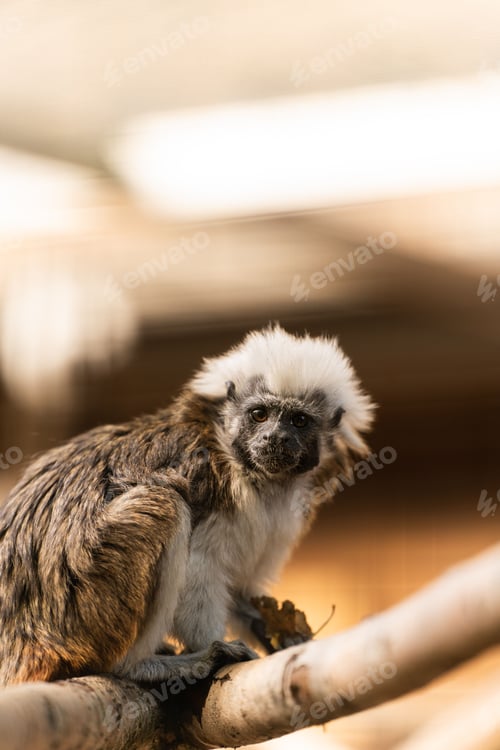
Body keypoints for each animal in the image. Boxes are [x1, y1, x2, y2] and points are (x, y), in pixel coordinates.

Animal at [0, 324, 374, 686]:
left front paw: (281, 635)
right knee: (164, 503)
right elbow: (200, 569)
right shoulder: (212, 482)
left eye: (298, 421)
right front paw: (209, 645)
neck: (260, 478)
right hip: (79, 613)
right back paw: (140, 666)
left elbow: (240, 587)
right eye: (259, 415)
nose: (275, 438)